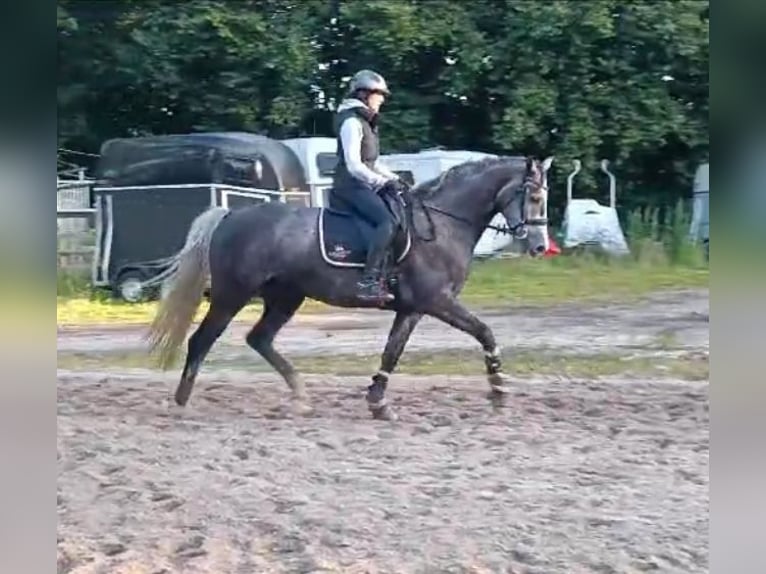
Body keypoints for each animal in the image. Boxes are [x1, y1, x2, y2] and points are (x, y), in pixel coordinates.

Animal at [146, 155, 552, 420]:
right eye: (534, 197)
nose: (539, 247)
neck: (442, 225)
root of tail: (231, 214)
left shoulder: (413, 308)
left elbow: (392, 353)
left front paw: (378, 403)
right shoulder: (438, 301)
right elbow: (485, 332)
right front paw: (498, 391)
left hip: (286, 297)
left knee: (259, 339)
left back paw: (300, 396)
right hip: (232, 295)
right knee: (202, 340)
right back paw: (181, 402)